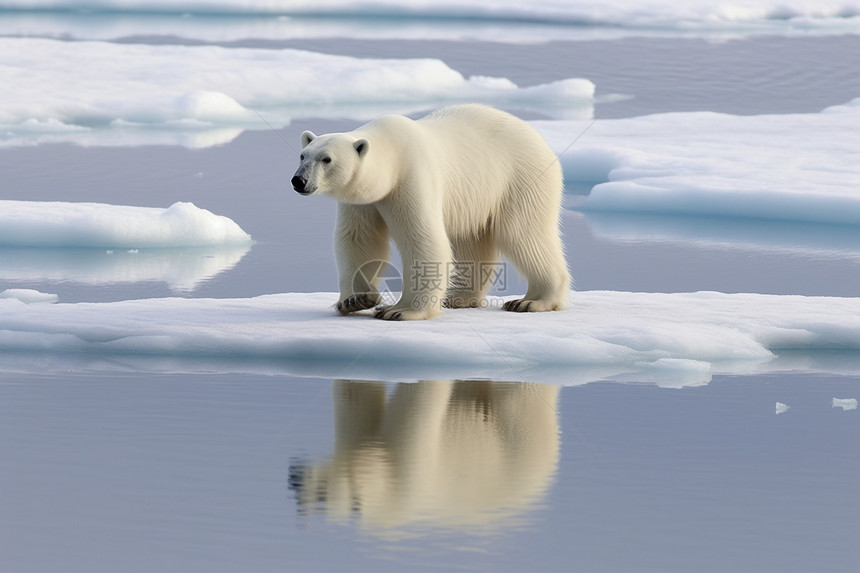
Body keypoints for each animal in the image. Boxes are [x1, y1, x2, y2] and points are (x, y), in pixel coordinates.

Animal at [292, 105, 568, 320]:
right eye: (303, 155)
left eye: (326, 159)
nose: (298, 181)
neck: (392, 154)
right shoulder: (361, 199)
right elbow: (358, 239)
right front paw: (355, 300)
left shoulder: (412, 176)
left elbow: (422, 238)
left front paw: (399, 310)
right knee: (470, 240)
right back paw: (458, 297)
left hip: (521, 178)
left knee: (524, 235)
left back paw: (531, 301)